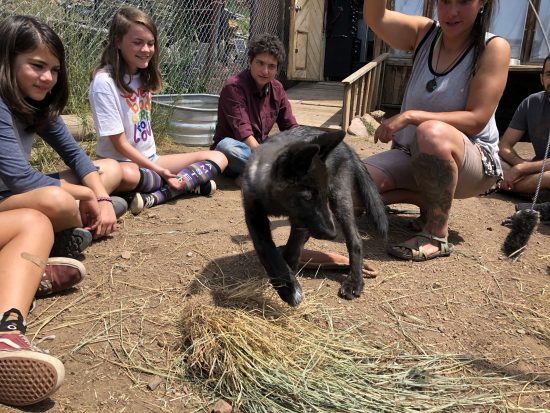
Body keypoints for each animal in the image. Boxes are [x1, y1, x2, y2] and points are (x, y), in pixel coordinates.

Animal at [242, 125, 388, 306]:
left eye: (323, 195)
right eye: (307, 197)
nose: (332, 235)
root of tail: (346, 147)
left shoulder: (301, 220)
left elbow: (293, 249)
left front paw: (289, 281)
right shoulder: (254, 215)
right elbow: (266, 250)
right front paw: (287, 285)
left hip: (340, 198)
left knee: (355, 239)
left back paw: (354, 281)